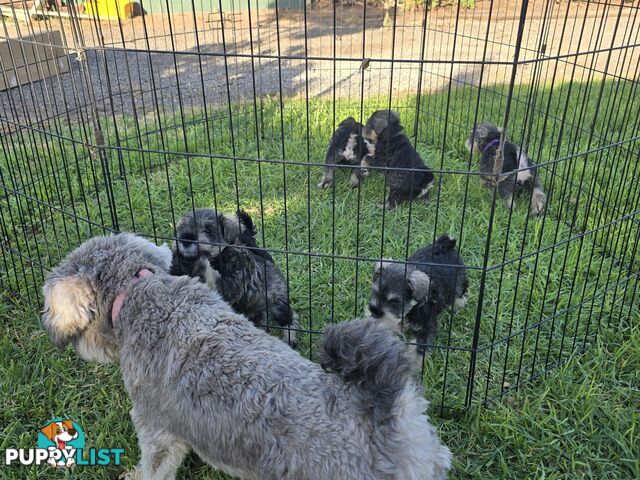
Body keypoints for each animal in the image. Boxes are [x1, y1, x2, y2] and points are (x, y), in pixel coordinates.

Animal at [170, 208, 300, 346]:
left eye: (208, 230)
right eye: (182, 227)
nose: (186, 239)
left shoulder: (232, 283)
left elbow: (212, 278)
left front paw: (202, 263)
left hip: (277, 304)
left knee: (289, 318)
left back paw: (289, 338)